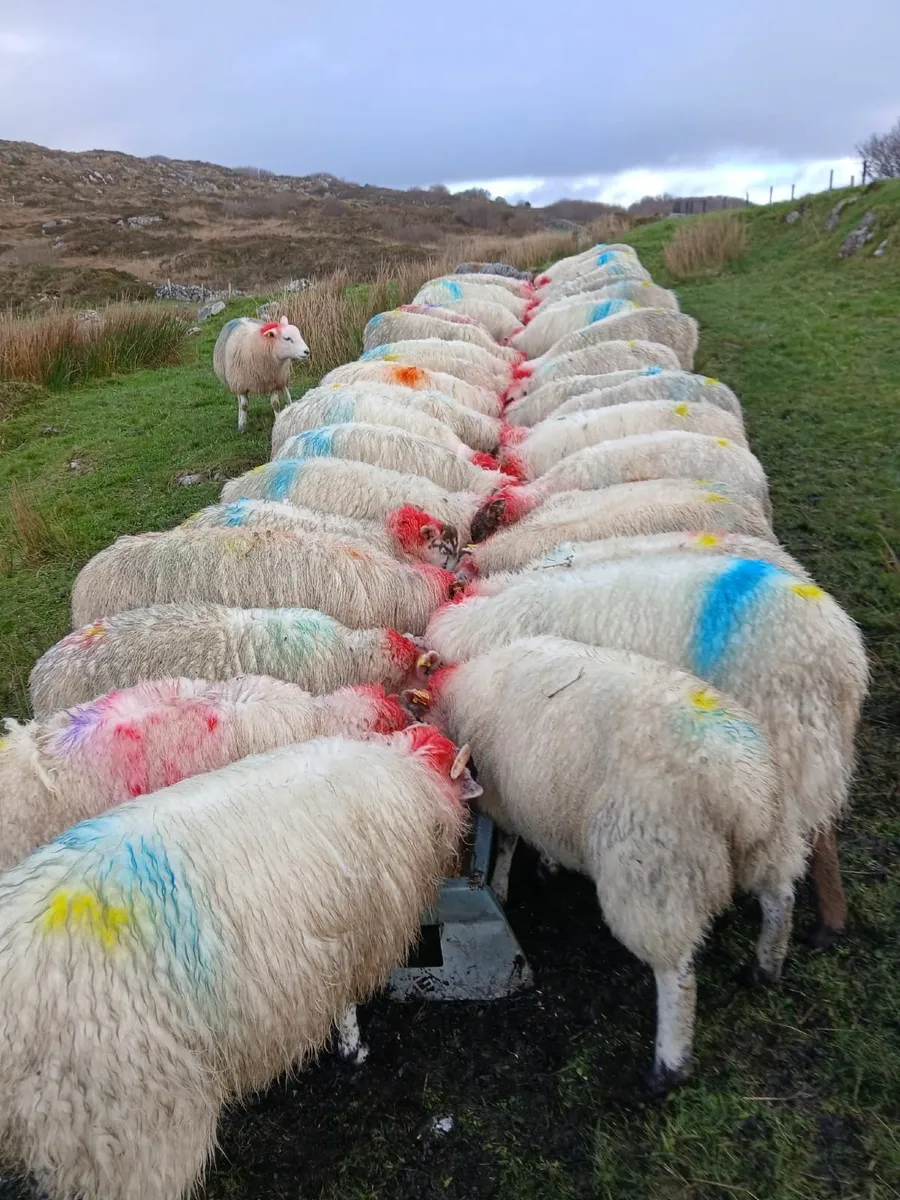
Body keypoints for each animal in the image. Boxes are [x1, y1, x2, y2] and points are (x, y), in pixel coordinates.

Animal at [412, 636, 805, 1091]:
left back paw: (668, 1065)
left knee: (677, 971)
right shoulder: (541, 803)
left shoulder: (503, 799)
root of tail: (740, 791)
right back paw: (766, 966)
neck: (457, 691)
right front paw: (548, 864)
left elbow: (509, 844)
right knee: (780, 899)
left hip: (653, 870)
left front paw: (503, 884)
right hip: (769, 842)